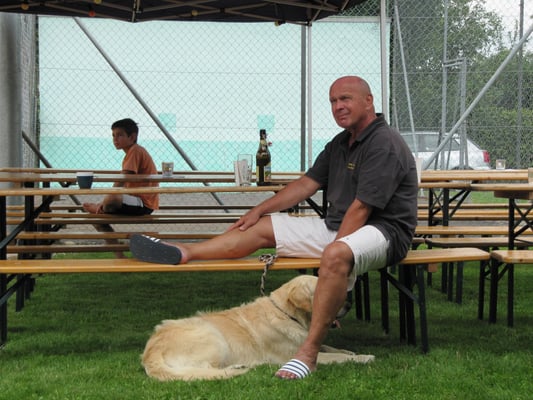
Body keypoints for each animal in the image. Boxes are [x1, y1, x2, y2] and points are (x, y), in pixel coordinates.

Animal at [141, 275, 374, 381]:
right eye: (328, 294)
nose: (349, 304)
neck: (286, 313)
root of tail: (150, 352)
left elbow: (332, 348)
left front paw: (350, 351)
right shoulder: (295, 355)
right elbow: (336, 357)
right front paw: (364, 357)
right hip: (212, 335)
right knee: (206, 369)